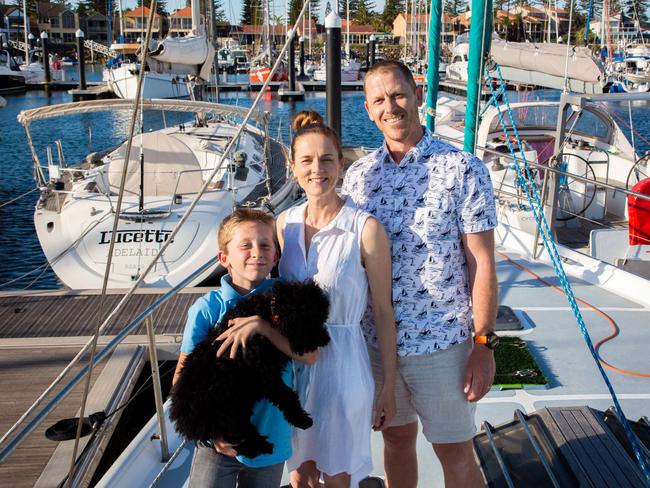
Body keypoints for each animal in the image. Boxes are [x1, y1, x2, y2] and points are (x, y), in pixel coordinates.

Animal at [170, 278, 330, 458]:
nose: (326, 339)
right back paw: (261, 447)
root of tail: (184, 420)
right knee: (237, 438)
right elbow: (286, 395)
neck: (269, 312)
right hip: (228, 411)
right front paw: (301, 418)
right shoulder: (265, 373)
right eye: (311, 320)